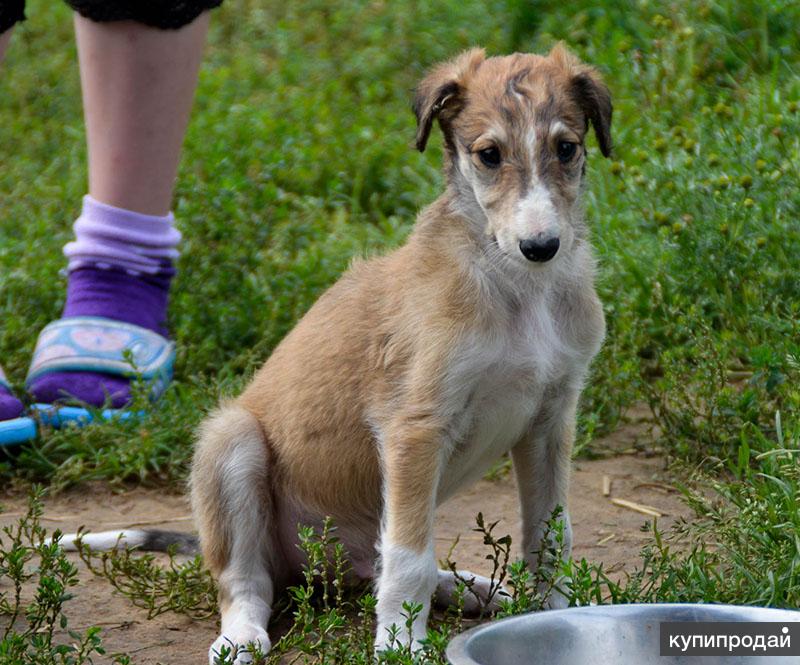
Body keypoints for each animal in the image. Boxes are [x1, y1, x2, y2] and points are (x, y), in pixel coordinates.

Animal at [67, 44, 612, 660]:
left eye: (566, 148)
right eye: (489, 155)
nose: (541, 246)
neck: (519, 287)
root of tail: (317, 569)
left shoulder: (550, 418)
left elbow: (551, 534)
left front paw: (558, 615)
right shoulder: (415, 428)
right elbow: (409, 558)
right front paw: (399, 646)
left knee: (377, 566)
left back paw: (467, 586)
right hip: (234, 444)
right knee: (248, 583)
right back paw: (242, 635)